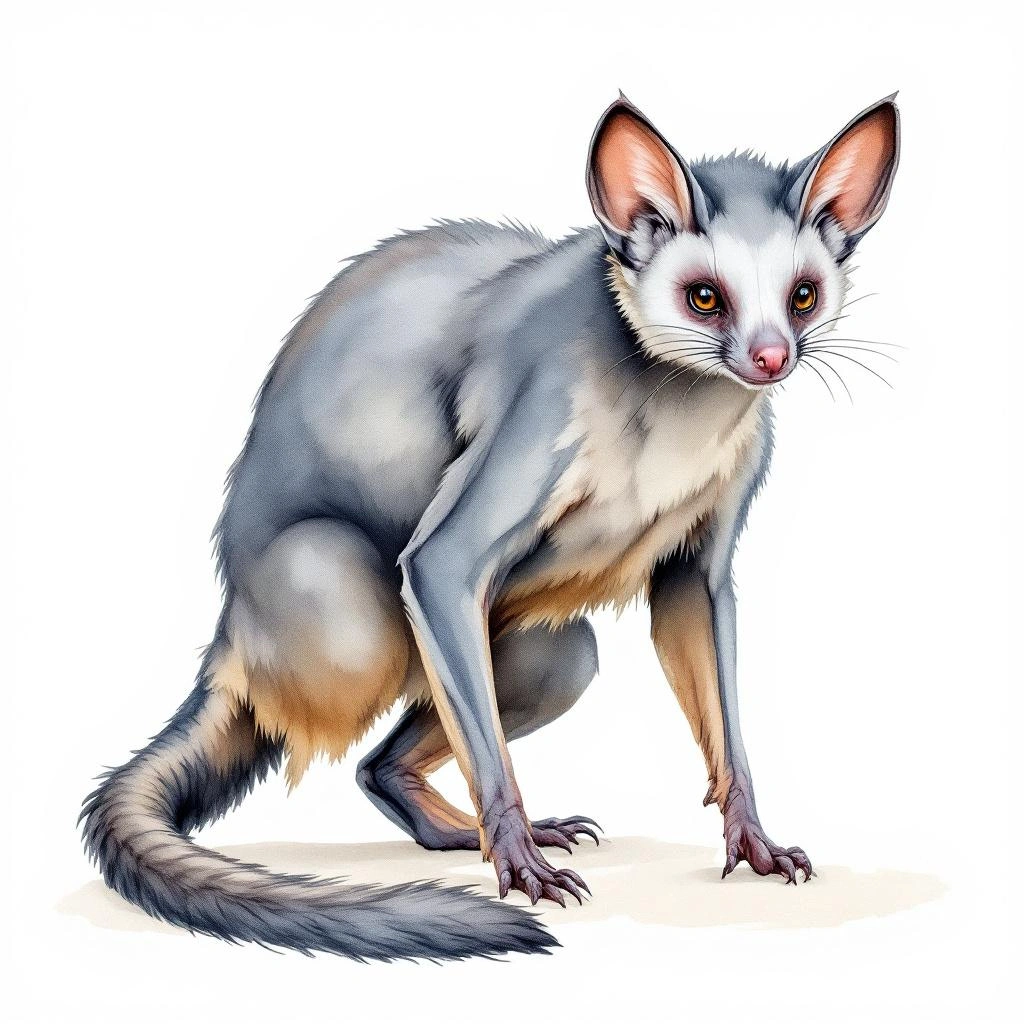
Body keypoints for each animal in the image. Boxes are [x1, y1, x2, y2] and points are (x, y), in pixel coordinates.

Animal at [81, 93, 900, 962]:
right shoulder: (541, 403)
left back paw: (449, 822)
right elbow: (440, 564)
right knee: (371, 633)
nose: (772, 358)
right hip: (332, 619)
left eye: (803, 295)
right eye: (704, 298)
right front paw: (517, 860)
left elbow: (700, 605)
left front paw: (751, 839)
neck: (679, 404)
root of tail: (231, 643)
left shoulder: (733, 481)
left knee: (537, 670)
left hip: (498, 650)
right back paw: (493, 834)